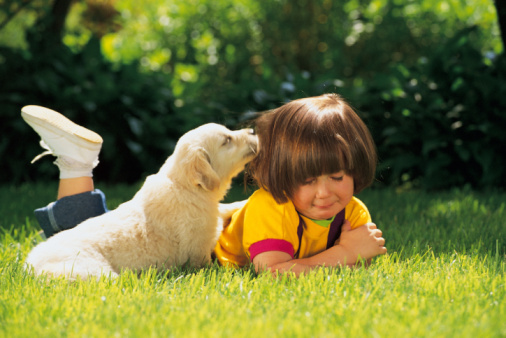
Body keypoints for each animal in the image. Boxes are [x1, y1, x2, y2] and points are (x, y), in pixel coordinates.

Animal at [25, 123, 258, 278]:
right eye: (227, 140)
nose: (253, 132)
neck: (186, 186)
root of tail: (29, 266)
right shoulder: (197, 251)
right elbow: (208, 268)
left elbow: (224, 208)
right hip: (92, 271)